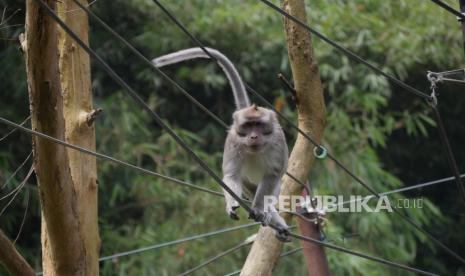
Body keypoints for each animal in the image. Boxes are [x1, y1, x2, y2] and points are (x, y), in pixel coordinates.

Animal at [154, 47, 288, 239]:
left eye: (258, 125)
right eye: (248, 126)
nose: (253, 137)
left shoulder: (277, 142)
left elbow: (272, 175)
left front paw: (259, 210)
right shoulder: (234, 141)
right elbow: (232, 175)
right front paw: (231, 205)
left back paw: (270, 216)